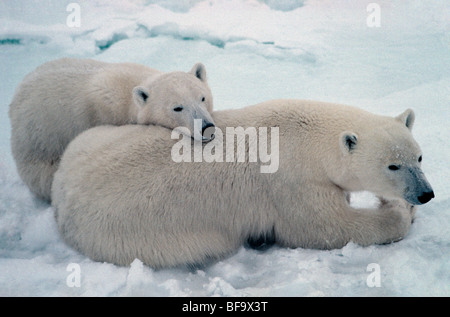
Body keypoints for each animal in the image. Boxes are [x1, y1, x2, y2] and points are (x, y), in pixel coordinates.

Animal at [51, 99, 434, 266]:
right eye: (393, 165)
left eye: (418, 157)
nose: (426, 194)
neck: (307, 137)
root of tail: (60, 196)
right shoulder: (291, 184)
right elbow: (325, 227)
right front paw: (396, 210)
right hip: (129, 236)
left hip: (95, 138)